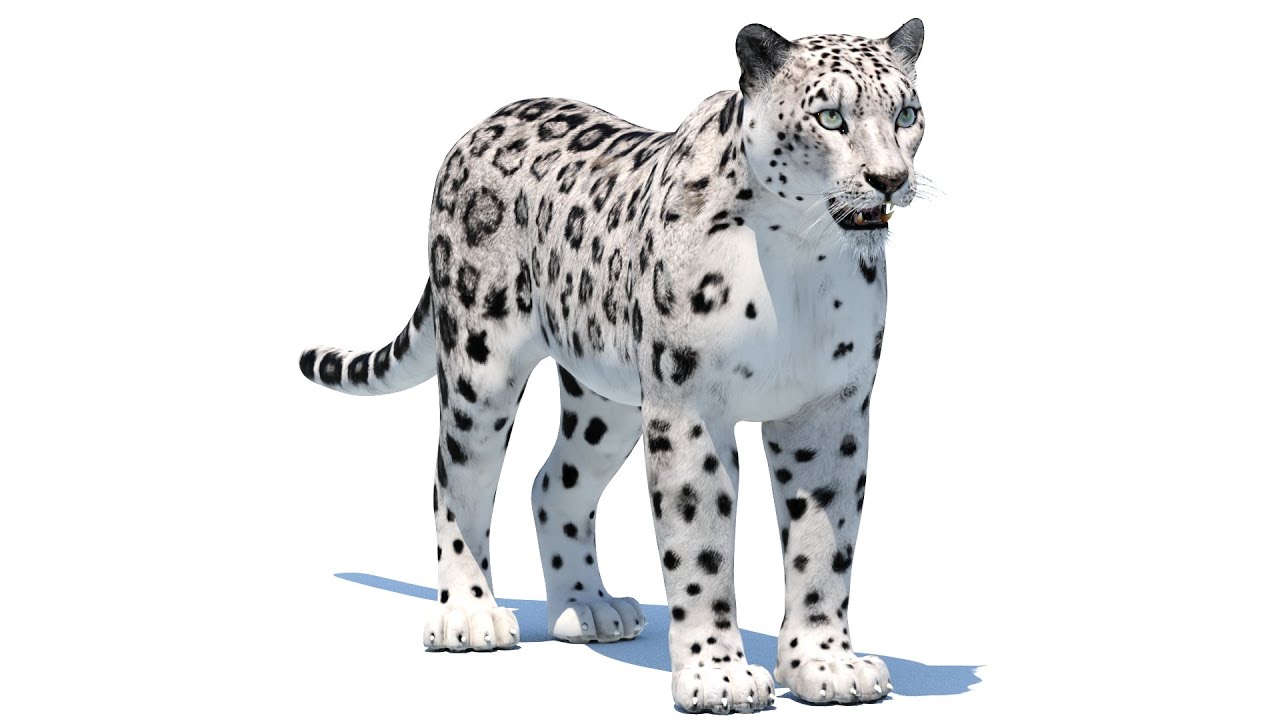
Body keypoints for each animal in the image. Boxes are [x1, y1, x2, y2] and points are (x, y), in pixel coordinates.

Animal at [299, 20, 926, 713]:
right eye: (831, 116)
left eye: (906, 115)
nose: (889, 178)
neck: (801, 257)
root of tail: (481, 124)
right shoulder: (688, 406)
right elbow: (701, 548)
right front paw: (718, 675)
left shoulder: (830, 410)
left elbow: (824, 546)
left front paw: (826, 665)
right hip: (479, 367)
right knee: (456, 479)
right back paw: (472, 614)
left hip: (609, 403)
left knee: (553, 482)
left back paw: (588, 607)